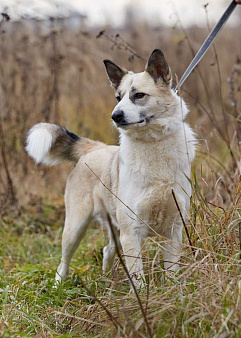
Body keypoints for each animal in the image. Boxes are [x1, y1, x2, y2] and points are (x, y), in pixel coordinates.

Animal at [25, 49, 196, 288]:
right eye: (118, 97)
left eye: (139, 95)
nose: (115, 116)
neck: (153, 145)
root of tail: (94, 148)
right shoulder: (131, 233)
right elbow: (138, 277)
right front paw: (142, 295)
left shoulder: (174, 230)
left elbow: (171, 272)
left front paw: (173, 293)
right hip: (76, 228)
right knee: (64, 261)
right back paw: (59, 286)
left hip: (115, 228)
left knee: (107, 250)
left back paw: (107, 279)